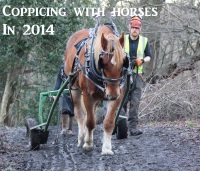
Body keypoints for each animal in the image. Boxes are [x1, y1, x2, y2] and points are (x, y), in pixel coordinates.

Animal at [63, 24, 127, 155]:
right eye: (103, 63)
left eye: (123, 63)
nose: (112, 94)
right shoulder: (88, 95)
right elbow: (90, 122)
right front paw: (88, 144)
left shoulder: (118, 96)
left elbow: (108, 122)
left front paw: (106, 148)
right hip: (74, 88)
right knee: (80, 114)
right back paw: (82, 137)